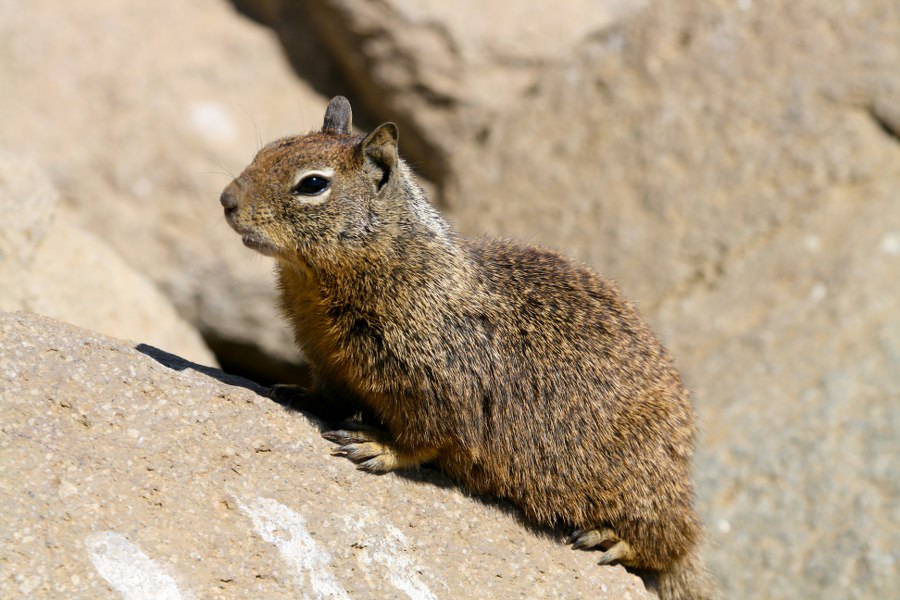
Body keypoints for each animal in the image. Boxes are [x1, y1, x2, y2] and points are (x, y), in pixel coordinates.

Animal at [220, 96, 717, 600]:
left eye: (313, 184)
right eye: (268, 150)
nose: (226, 200)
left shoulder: (437, 386)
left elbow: (425, 438)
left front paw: (377, 446)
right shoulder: (330, 363)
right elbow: (331, 394)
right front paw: (299, 392)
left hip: (641, 490)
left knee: (674, 542)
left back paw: (612, 540)